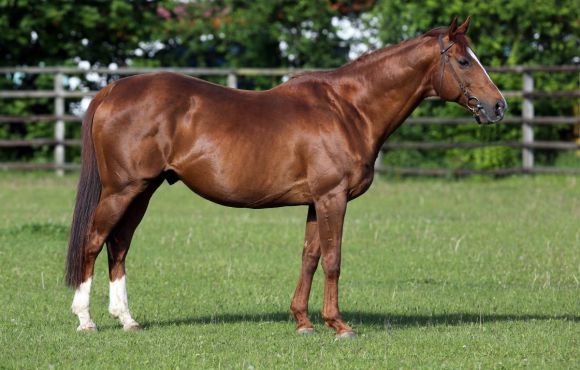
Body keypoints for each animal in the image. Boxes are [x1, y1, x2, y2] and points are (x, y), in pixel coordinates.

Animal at [65, 15, 506, 336]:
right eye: (464, 60)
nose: (498, 106)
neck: (348, 109)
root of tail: (112, 90)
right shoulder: (332, 197)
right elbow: (333, 259)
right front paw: (339, 325)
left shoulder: (315, 201)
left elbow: (309, 257)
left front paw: (304, 321)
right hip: (122, 190)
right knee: (94, 240)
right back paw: (86, 320)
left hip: (143, 191)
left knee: (119, 246)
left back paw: (127, 320)